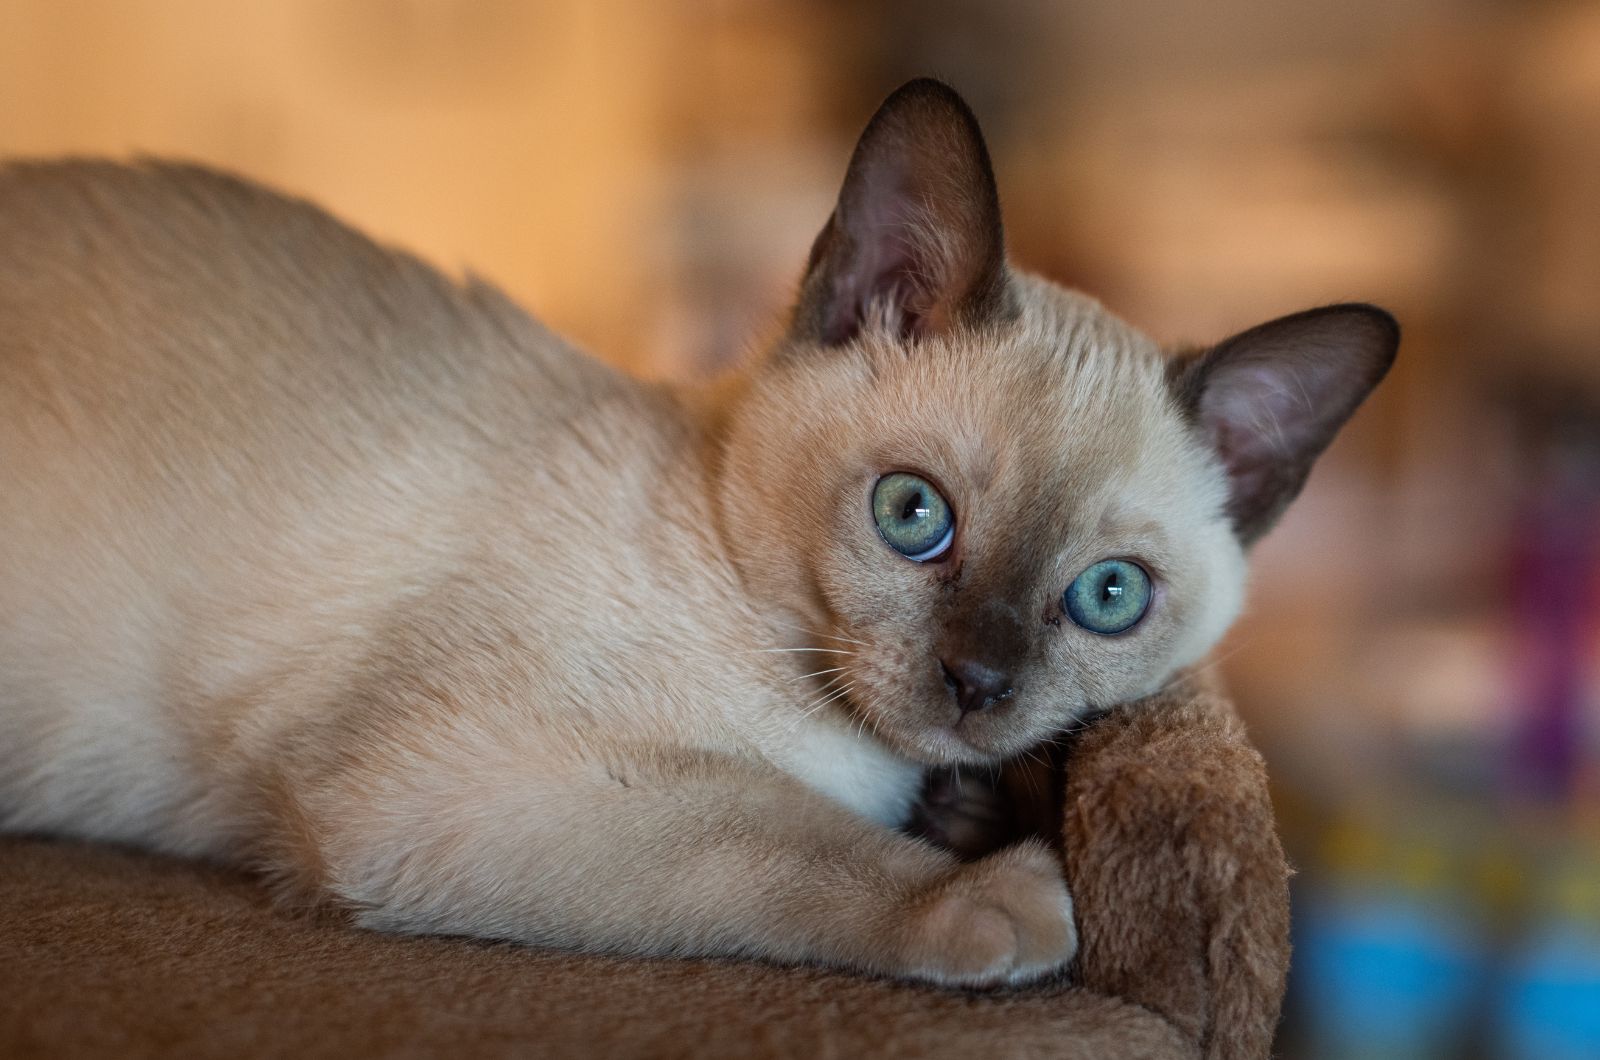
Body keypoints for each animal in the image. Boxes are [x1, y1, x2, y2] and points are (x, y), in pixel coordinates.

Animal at [0, 80, 1401, 986]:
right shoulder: (451, 783)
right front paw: (993, 889)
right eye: (913, 516)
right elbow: (771, 829)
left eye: (1110, 596)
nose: (979, 683)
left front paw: (969, 809)